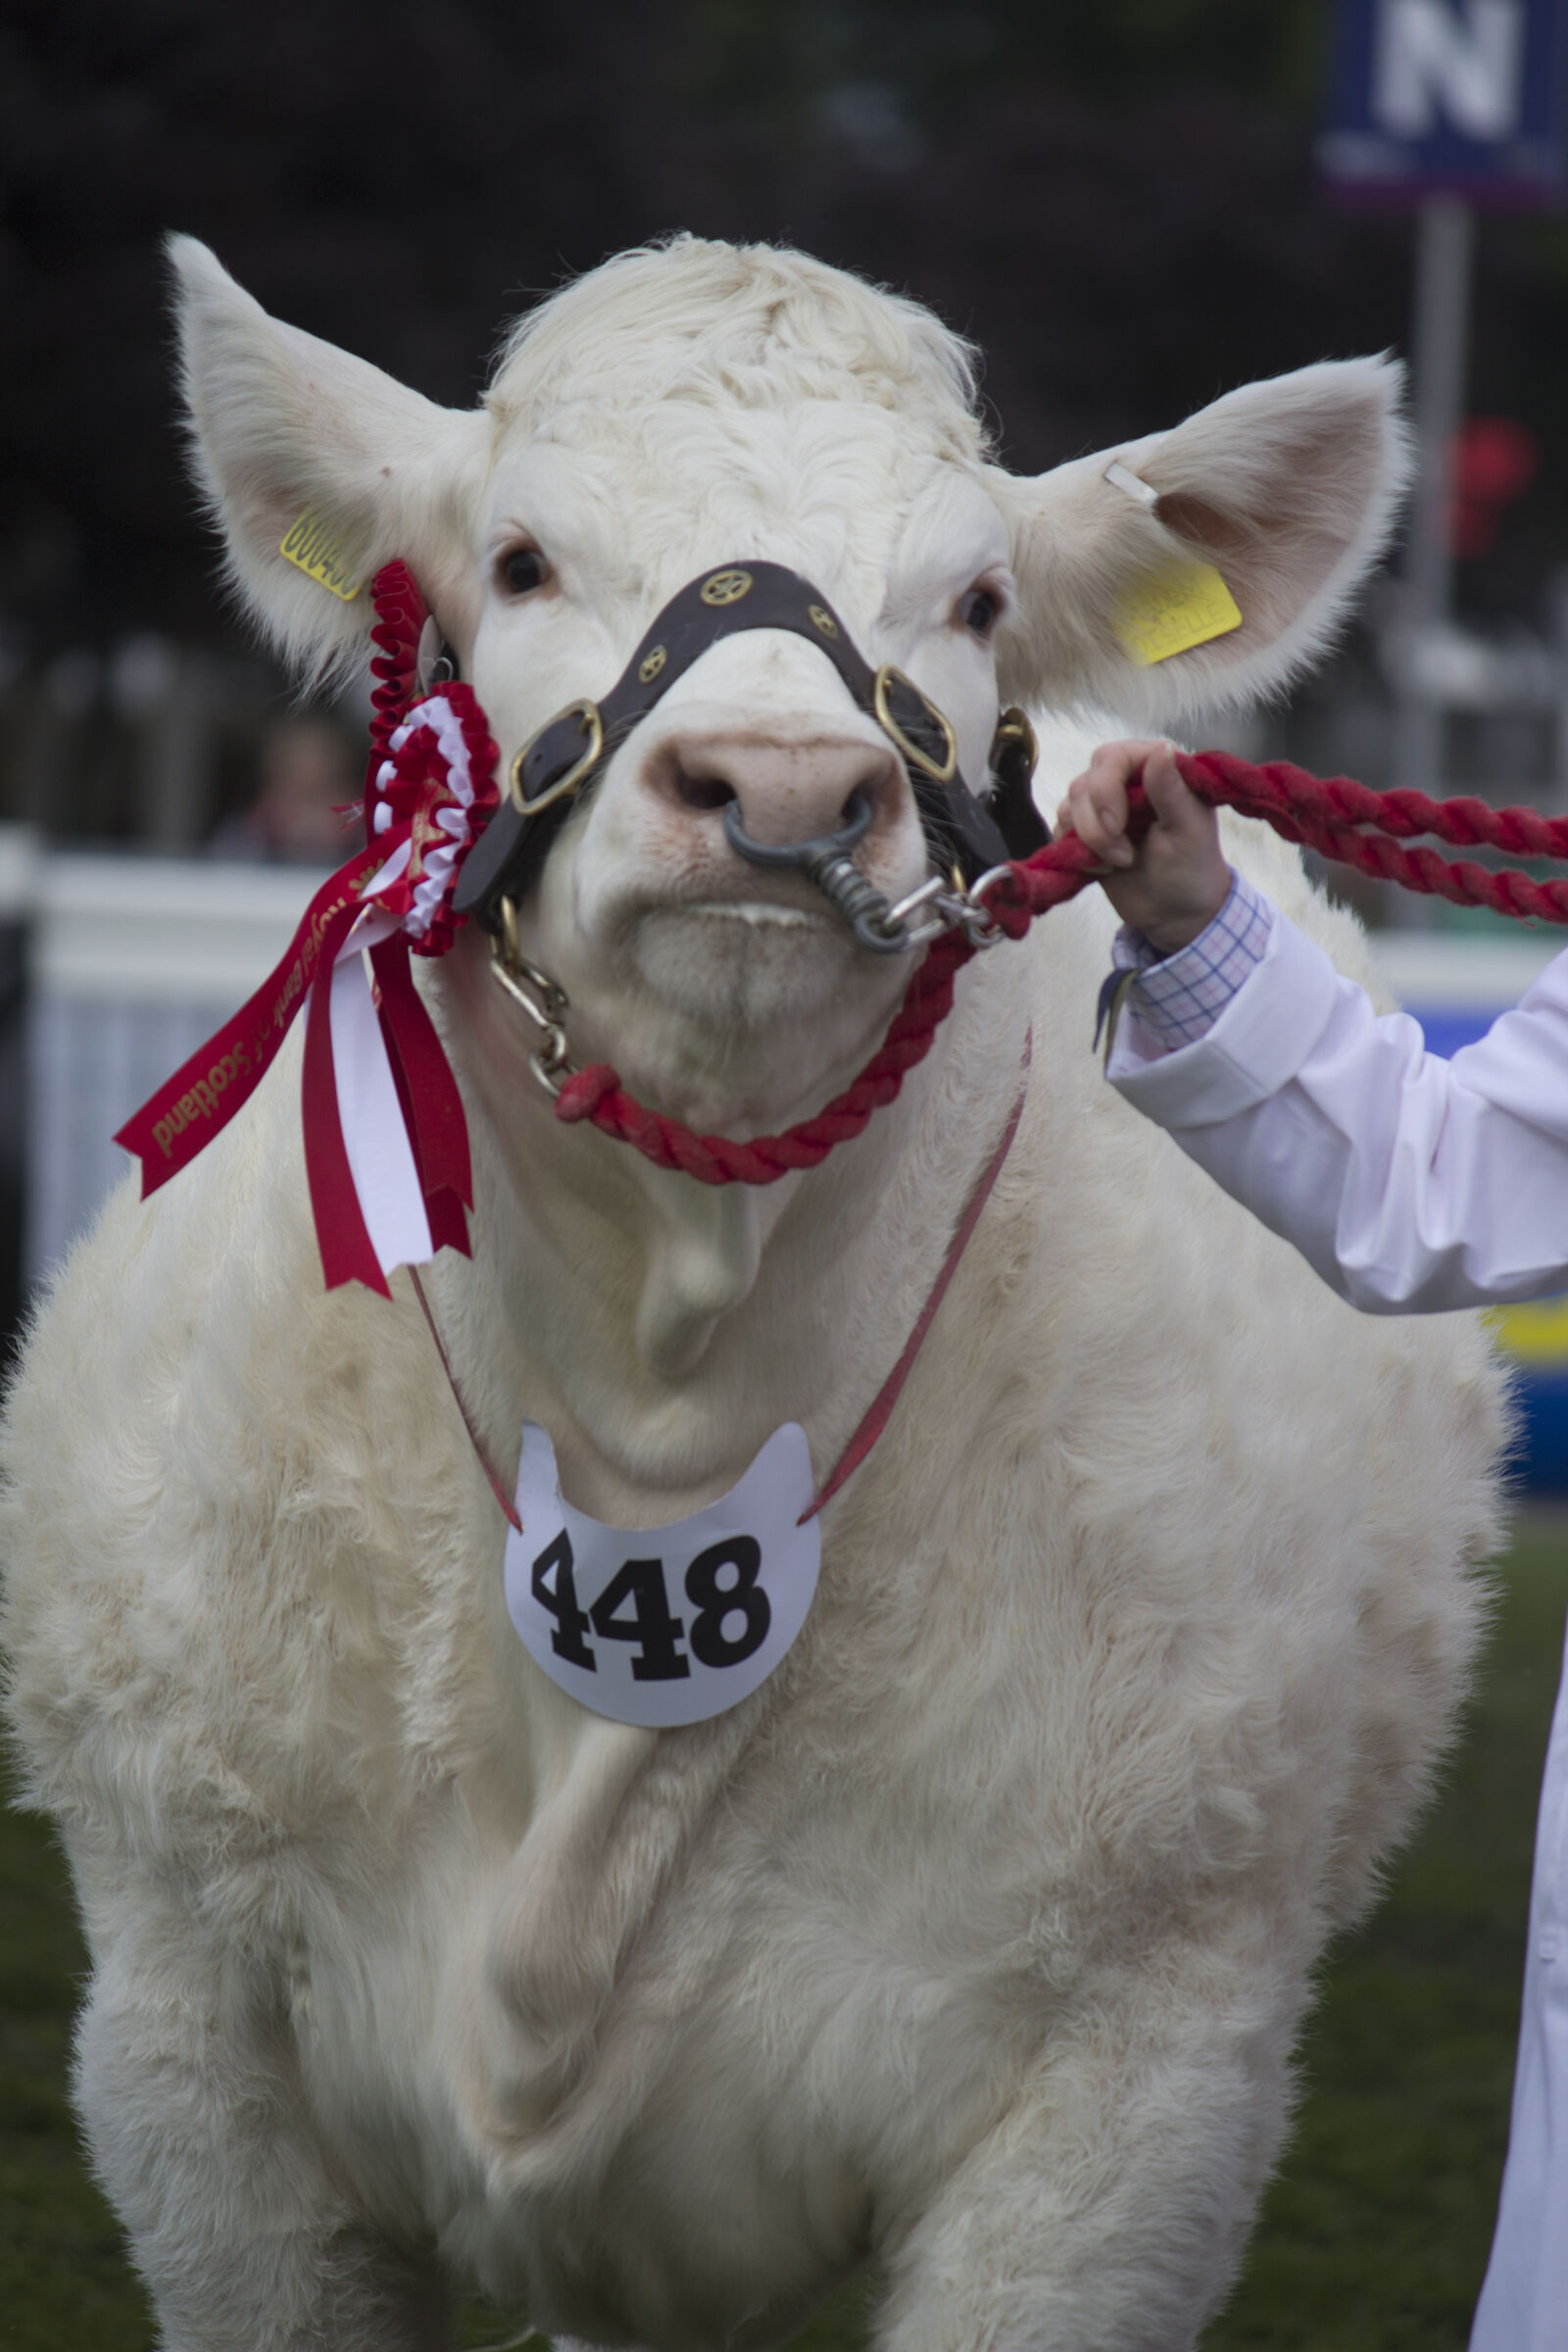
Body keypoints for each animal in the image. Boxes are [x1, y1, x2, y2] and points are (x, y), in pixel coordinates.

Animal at [6, 238, 1513, 2352]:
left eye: (975, 601)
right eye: (524, 558)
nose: (786, 790)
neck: (662, 1395)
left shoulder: (1135, 2081)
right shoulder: (188, 2045)